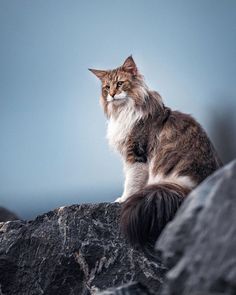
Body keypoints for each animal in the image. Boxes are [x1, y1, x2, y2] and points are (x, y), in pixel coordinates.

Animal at [89, 55, 222, 247]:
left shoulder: (137, 153)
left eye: (120, 83)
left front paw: (123, 199)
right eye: (107, 87)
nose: (112, 94)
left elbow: (131, 182)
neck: (123, 111)